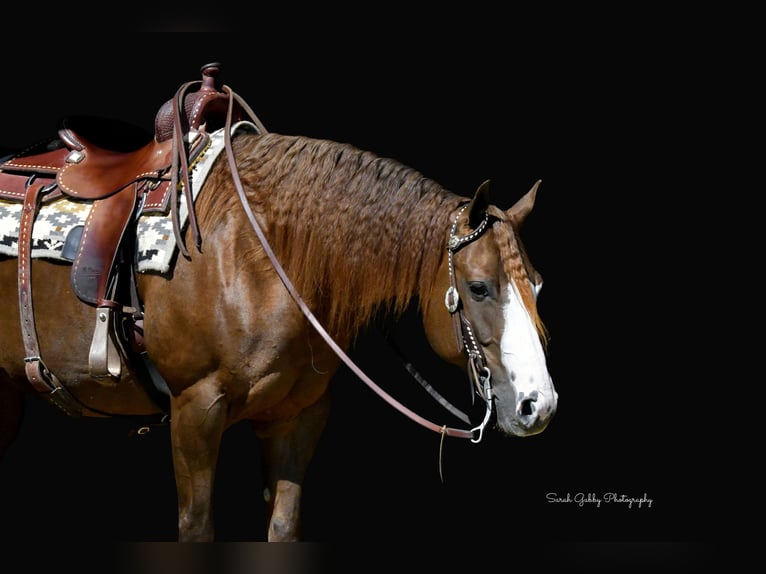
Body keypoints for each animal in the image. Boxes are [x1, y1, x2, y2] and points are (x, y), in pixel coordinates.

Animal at [0, 65, 557, 542]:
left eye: (537, 286)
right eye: (479, 287)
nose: (538, 404)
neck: (254, 254)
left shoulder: (298, 417)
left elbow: (283, 527)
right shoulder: (194, 411)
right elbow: (197, 529)